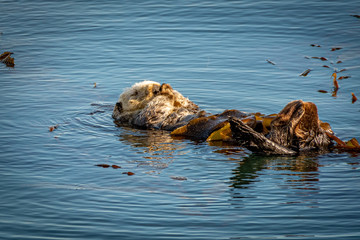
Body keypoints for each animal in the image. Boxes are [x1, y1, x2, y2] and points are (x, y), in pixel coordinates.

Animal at [113, 81, 334, 155]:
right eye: (136, 93)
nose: (156, 87)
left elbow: (190, 105)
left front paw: (170, 89)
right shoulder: (142, 119)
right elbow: (154, 110)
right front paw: (164, 93)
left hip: (315, 136)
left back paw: (302, 108)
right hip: (278, 139)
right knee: (276, 143)